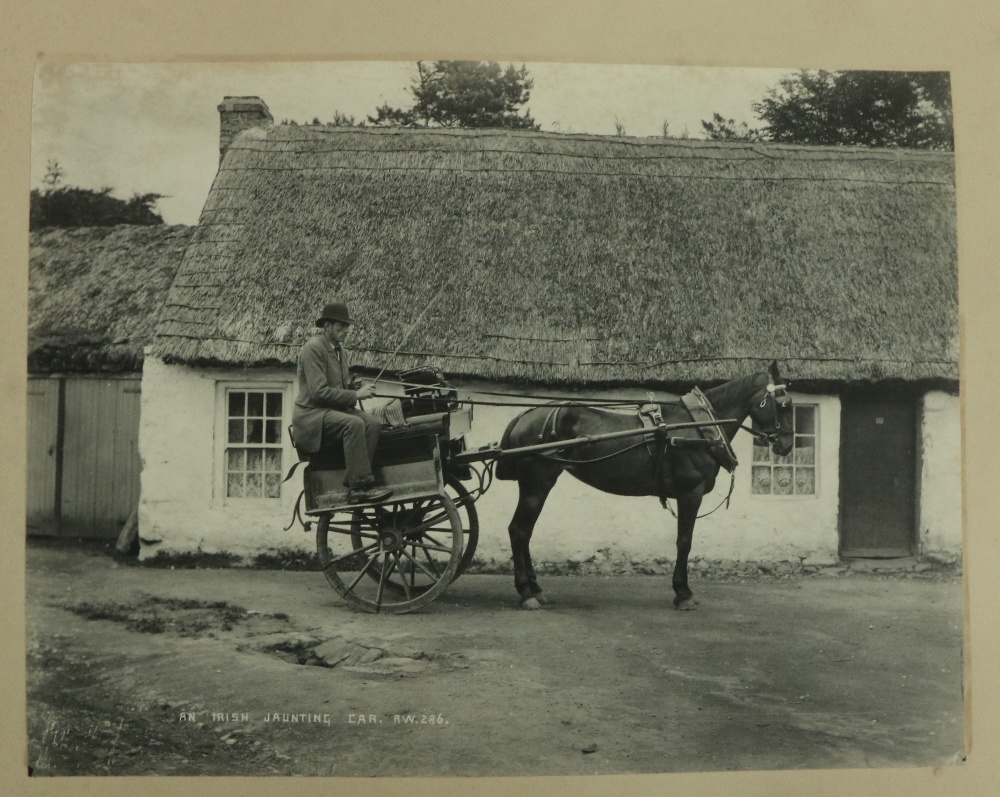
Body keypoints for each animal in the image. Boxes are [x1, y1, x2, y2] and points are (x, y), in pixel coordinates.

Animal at [496, 360, 792, 608]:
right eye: (783, 404)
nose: (787, 446)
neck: (698, 427)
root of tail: (525, 415)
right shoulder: (690, 493)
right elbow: (685, 541)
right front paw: (683, 593)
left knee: (525, 532)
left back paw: (535, 589)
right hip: (537, 482)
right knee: (519, 530)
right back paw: (526, 593)